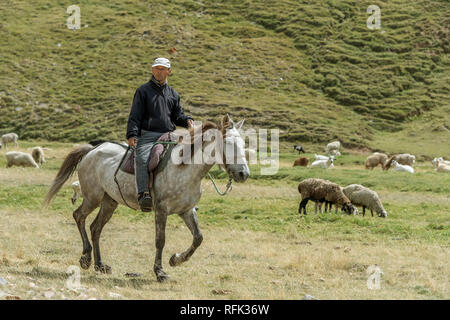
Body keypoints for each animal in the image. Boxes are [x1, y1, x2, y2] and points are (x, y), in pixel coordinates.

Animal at [44, 116, 250, 282]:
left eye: (243, 144)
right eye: (229, 144)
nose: (244, 174)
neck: (184, 167)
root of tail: (92, 150)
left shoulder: (186, 211)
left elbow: (198, 237)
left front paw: (176, 259)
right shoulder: (161, 211)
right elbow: (161, 240)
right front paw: (160, 272)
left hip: (109, 202)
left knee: (95, 228)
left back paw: (100, 265)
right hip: (92, 198)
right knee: (79, 216)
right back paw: (86, 258)